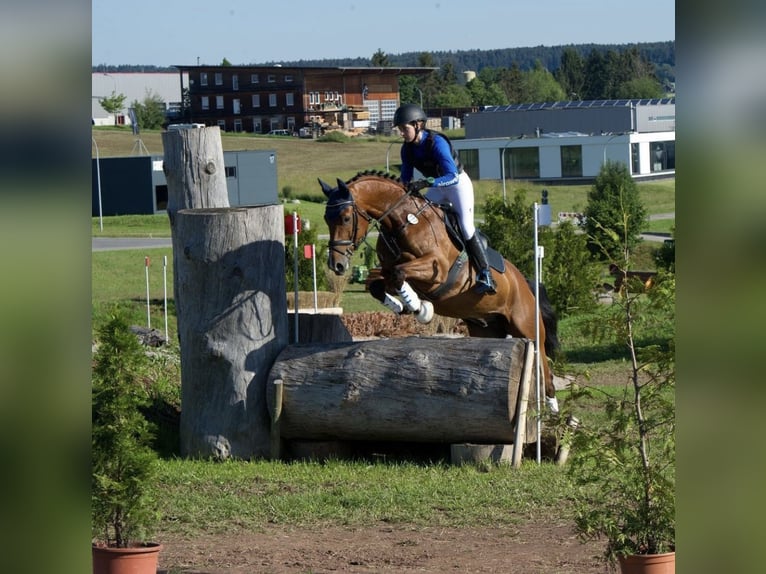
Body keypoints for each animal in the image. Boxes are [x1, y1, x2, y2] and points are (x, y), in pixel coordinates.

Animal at [320, 171, 560, 414]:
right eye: (326, 219)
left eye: (345, 218)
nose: (336, 264)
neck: (403, 222)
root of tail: (526, 284)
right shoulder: (386, 271)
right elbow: (379, 283)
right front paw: (404, 306)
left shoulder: (437, 269)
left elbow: (399, 273)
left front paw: (420, 307)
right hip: (489, 329)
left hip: (528, 329)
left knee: (546, 375)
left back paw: (554, 413)